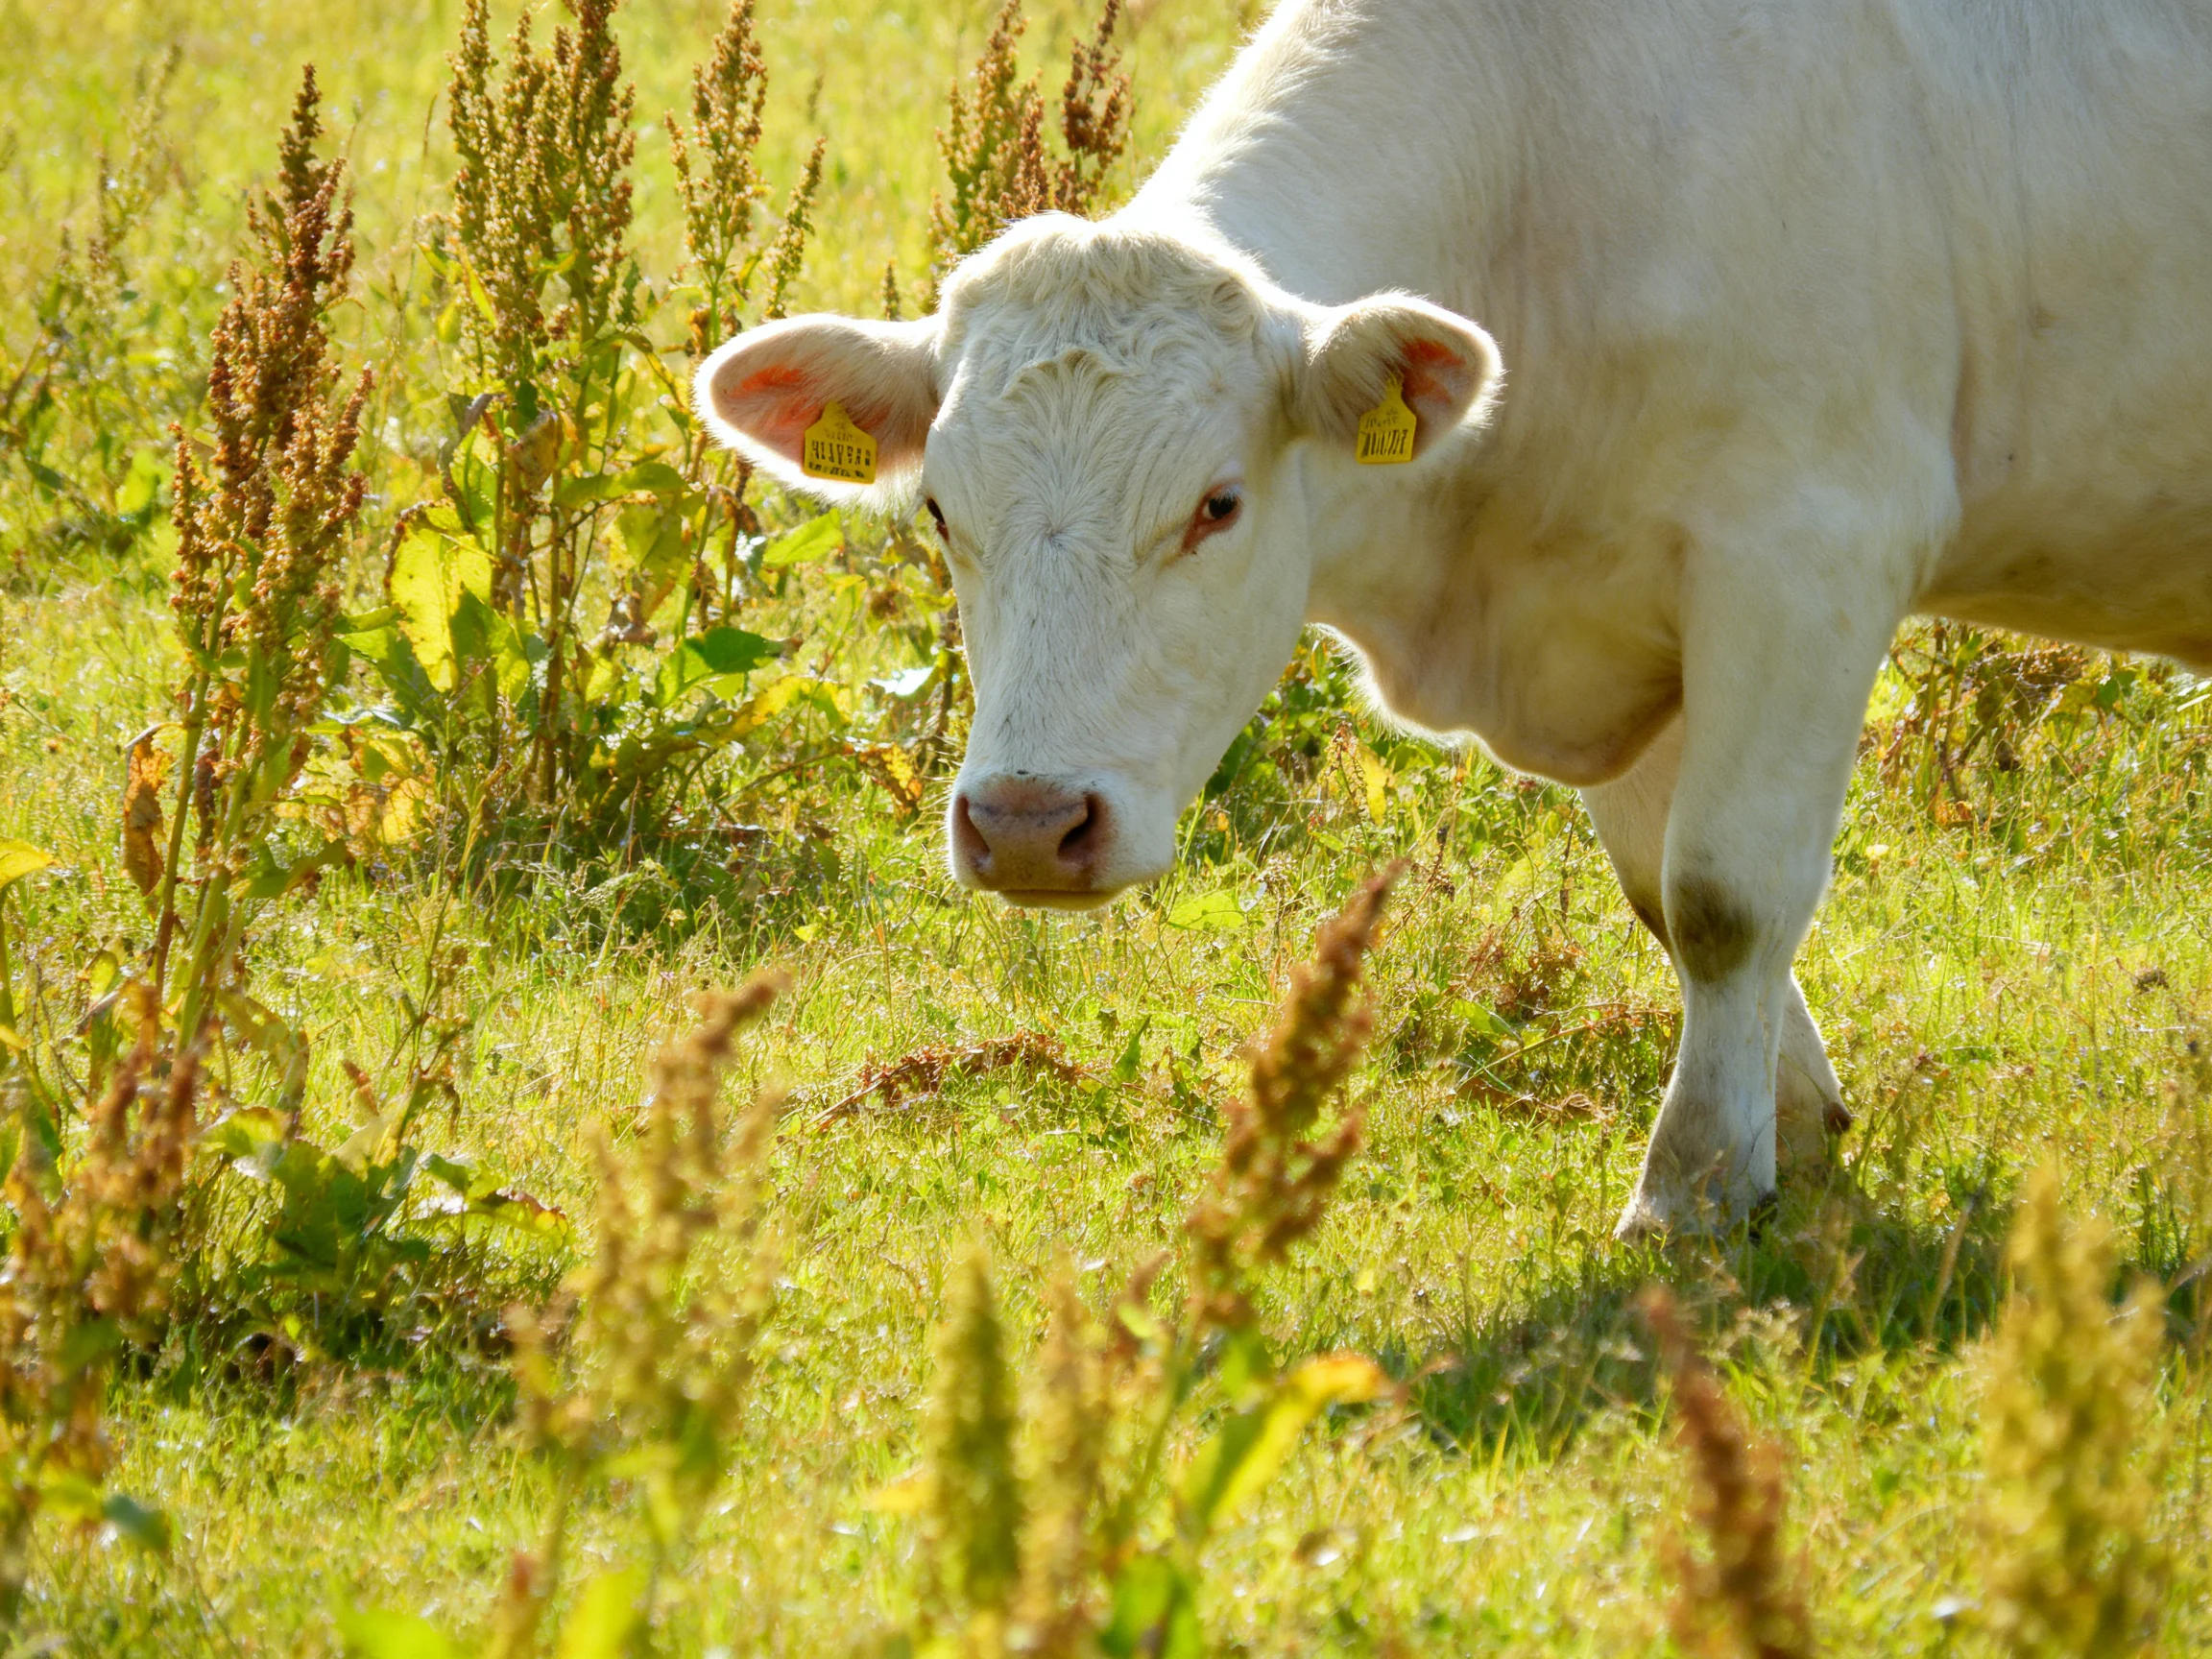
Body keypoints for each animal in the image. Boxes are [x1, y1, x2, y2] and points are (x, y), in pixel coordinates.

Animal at [696, 0, 2212, 1237]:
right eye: (941, 511)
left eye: (1218, 504)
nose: (1023, 825)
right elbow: (1666, 896)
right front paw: (1788, 1126)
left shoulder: (1811, 545)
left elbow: (1728, 894)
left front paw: (1694, 1185)